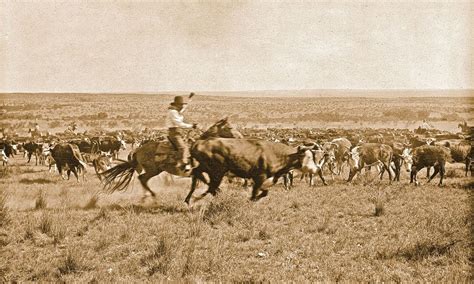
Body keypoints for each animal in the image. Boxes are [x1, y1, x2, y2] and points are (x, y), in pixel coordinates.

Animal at [99, 117, 241, 200]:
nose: (239, 137)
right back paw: (152, 195)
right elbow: (208, 183)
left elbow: (198, 185)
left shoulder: (198, 172)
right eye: (230, 127)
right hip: (153, 170)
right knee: (142, 178)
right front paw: (216, 193)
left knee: (143, 179)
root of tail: (138, 150)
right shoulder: (200, 171)